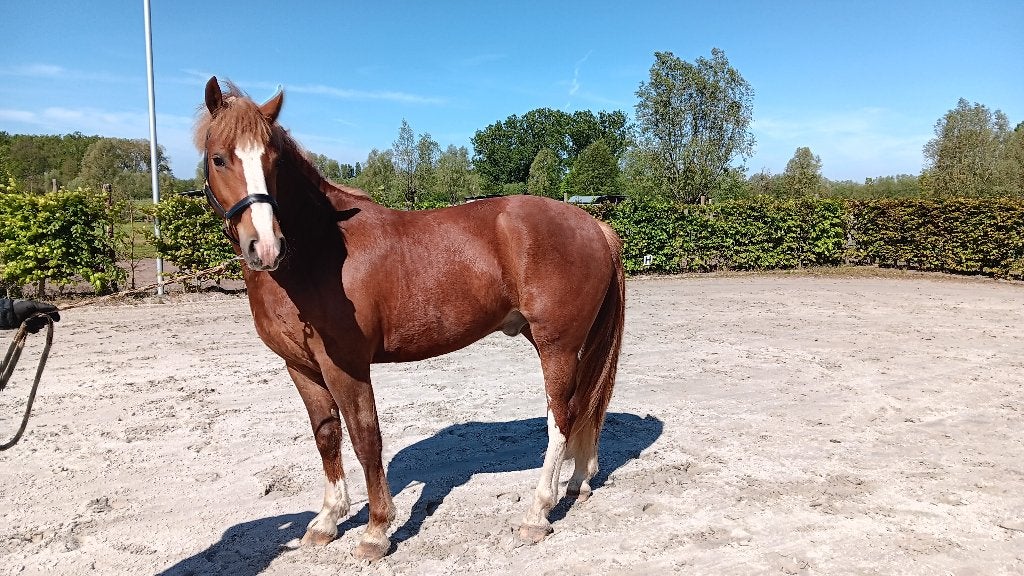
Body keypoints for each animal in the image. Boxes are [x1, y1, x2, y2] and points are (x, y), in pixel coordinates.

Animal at [195, 76, 625, 561]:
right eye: (219, 157)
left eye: (273, 160)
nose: (265, 246)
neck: (318, 253)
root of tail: (594, 224)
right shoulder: (300, 366)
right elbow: (327, 436)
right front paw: (326, 520)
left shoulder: (346, 367)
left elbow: (365, 437)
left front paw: (376, 530)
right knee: (584, 408)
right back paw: (578, 482)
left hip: (557, 346)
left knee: (561, 419)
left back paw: (537, 513)